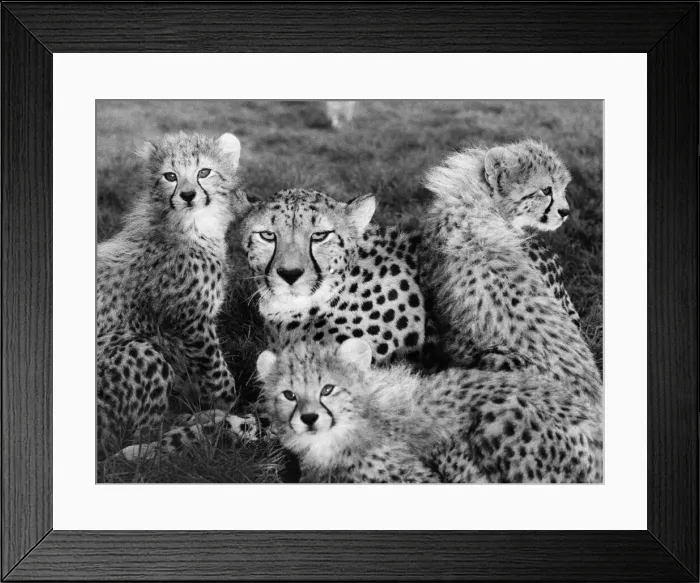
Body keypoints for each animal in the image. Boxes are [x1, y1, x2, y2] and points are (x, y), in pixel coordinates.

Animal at [97, 131, 253, 455]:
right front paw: (227, 404)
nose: (188, 195)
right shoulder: (193, 323)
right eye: (170, 176)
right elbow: (219, 374)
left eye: (203, 172)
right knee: (138, 438)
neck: (190, 225)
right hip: (139, 349)